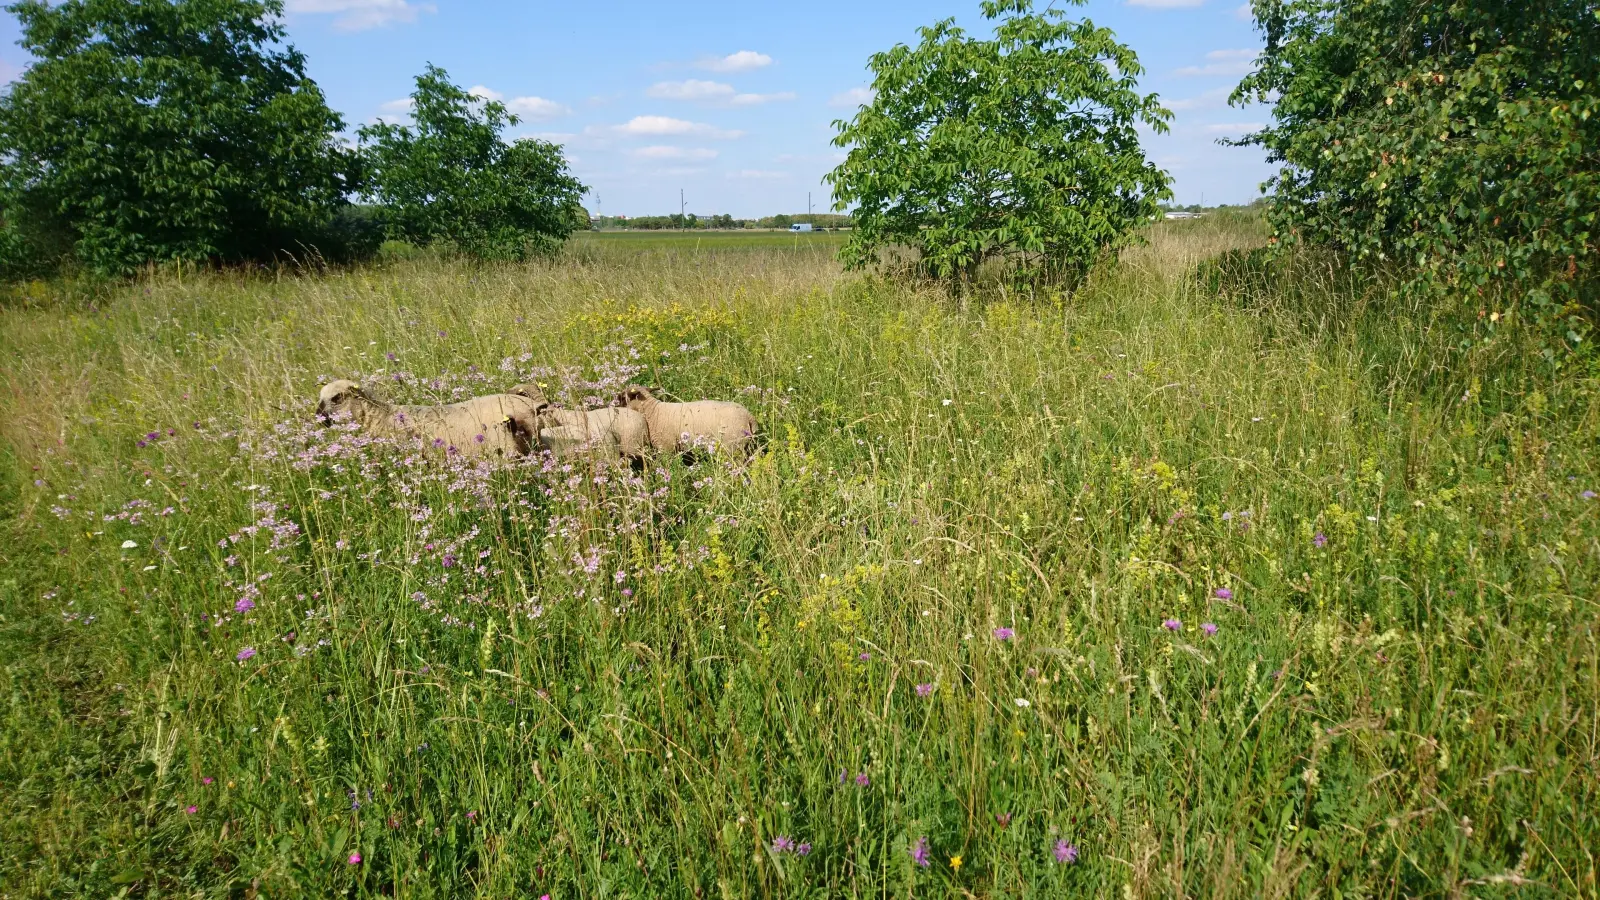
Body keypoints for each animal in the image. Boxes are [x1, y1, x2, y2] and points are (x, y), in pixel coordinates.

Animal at [613, 385, 757, 455]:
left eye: (622, 397)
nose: (614, 405)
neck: (653, 412)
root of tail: (749, 416)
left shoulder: (666, 446)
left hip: (732, 446)